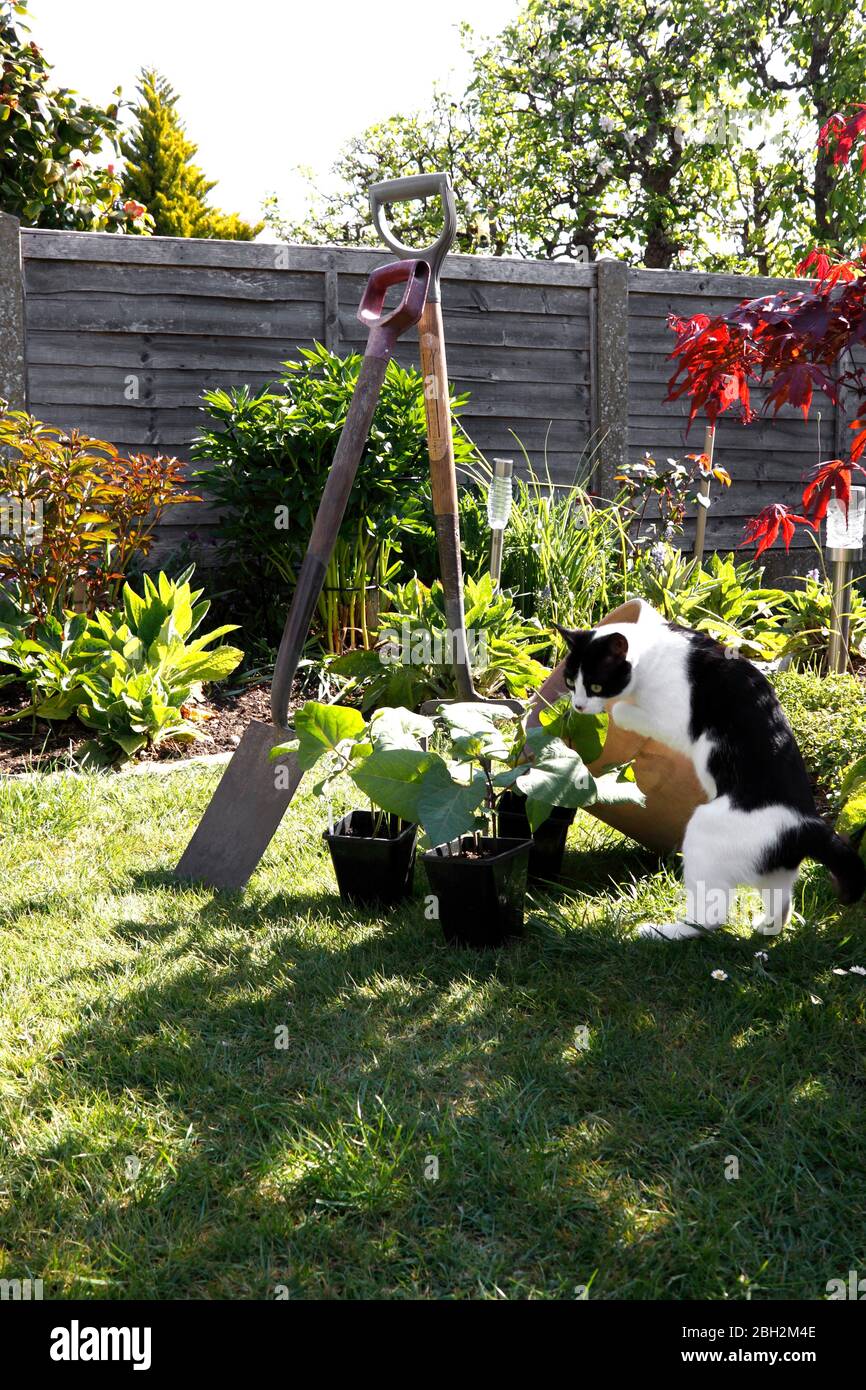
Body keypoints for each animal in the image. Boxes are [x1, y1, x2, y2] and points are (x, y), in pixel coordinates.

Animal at [558, 603, 861, 939]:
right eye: (570, 682)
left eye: (596, 685)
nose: (579, 706)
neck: (650, 653)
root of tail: (804, 823)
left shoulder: (673, 722)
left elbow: (624, 709)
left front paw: (615, 709)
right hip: (774, 870)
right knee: (781, 901)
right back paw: (766, 927)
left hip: (703, 833)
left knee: (711, 916)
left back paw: (662, 931)